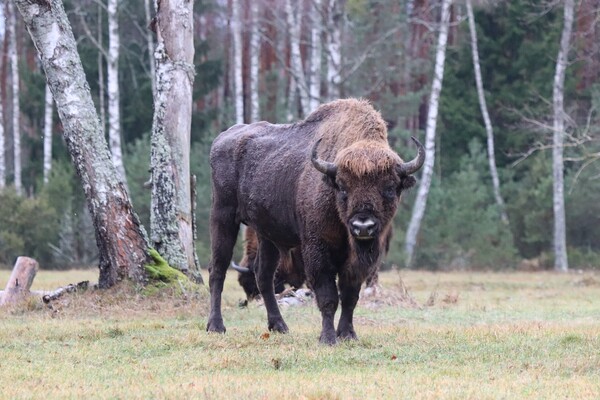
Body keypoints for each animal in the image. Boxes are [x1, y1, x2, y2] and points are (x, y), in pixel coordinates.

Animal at [209, 97, 424, 344]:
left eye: (389, 188)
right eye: (342, 187)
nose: (363, 226)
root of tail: (221, 139)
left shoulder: (358, 262)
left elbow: (350, 296)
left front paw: (348, 335)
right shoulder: (317, 250)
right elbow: (328, 296)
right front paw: (328, 338)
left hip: (266, 234)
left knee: (263, 275)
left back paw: (279, 326)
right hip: (223, 216)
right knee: (217, 270)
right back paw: (216, 326)